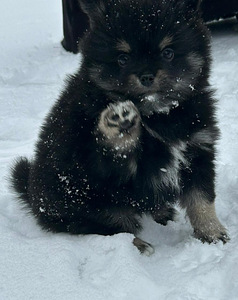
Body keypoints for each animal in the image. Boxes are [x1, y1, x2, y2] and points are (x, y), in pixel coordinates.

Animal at [11, 0, 229, 254]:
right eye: (123, 58)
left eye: (168, 52)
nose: (146, 76)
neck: (158, 115)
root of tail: (32, 194)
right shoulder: (106, 169)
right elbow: (116, 154)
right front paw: (121, 124)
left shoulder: (198, 148)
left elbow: (202, 198)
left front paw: (212, 232)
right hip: (87, 201)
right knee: (111, 227)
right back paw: (139, 244)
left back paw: (162, 212)